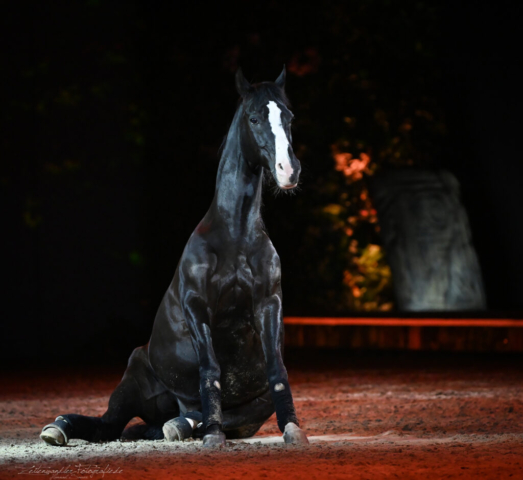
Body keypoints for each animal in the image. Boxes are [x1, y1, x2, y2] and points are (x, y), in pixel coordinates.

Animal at [42, 65, 312, 448]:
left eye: (288, 117)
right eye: (255, 118)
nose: (289, 170)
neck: (235, 234)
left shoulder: (268, 303)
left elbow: (277, 369)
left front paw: (292, 428)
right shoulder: (196, 304)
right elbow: (211, 369)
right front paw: (213, 434)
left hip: (249, 409)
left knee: (172, 419)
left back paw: (179, 423)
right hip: (132, 383)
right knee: (107, 425)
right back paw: (59, 426)